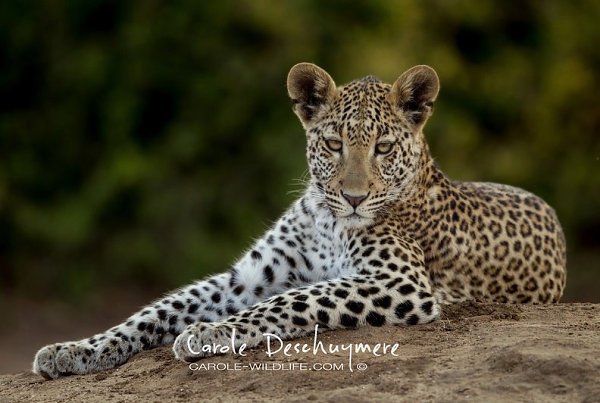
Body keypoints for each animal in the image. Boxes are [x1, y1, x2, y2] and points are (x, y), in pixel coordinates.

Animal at [33, 63, 567, 379]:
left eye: (383, 148)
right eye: (333, 144)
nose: (354, 198)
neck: (328, 220)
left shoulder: (400, 282)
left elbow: (295, 300)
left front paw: (207, 334)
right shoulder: (247, 278)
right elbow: (154, 311)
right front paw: (73, 350)